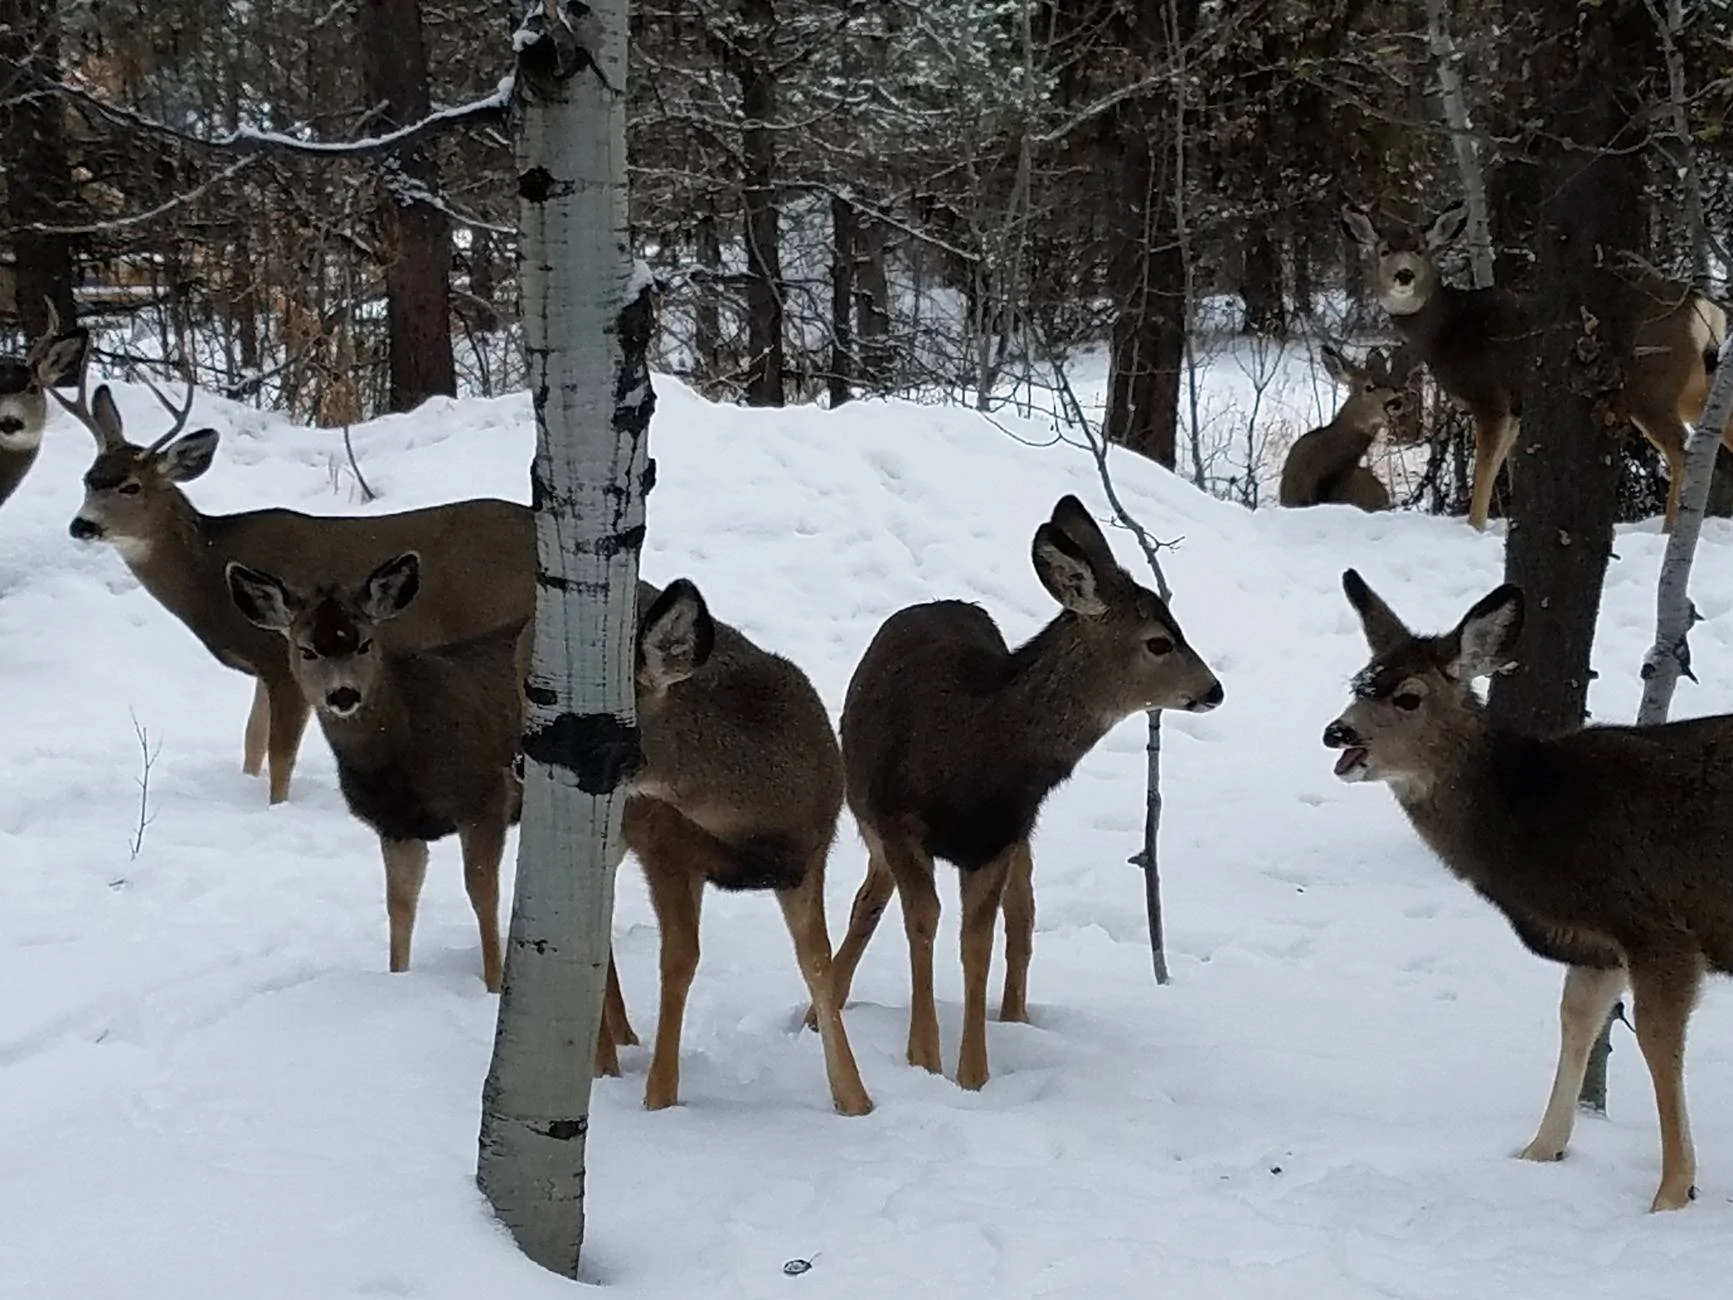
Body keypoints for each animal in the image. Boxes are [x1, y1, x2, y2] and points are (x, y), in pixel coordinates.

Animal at [50, 354, 533, 804]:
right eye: (88, 479)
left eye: (130, 486)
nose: (81, 525)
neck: (208, 572)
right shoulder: (264, 665)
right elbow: (251, 742)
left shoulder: (283, 660)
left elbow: (280, 754)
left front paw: (276, 807)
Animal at [600, 578, 873, 1116]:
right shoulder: (665, 844)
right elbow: (680, 959)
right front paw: (660, 1097)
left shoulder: (808, 858)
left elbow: (817, 961)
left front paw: (855, 1100)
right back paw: (603, 1058)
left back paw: (619, 1037)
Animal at [820, 495, 1222, 1091]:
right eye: (1160, 641)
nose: (1214, 690)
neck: (975, 754)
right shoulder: (900, 824)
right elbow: (923, 923)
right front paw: (924, 1059)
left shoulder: (1001, 837)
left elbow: (978, 941)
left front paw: (973, 1074)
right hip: (870, 814)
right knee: (871, 896)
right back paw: (821, 1008)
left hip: (1018, 839)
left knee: (1021, 911)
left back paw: (1014, 1015)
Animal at [1325, 569, 1733, 1212]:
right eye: (1359, 682)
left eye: (1408, 697)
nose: (1335, 732)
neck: (1532, 822)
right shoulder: (1599, 942)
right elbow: (1576, 1018)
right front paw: (1541, 1150)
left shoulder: (1659, 927)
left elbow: (1658, 1043)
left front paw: (1672, 1193)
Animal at [1342, 203, 1729, 532]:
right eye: (1384, 250)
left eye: (1421, 248)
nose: (1404, 275)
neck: (1448, 330)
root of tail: (1702, 305)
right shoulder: (1516, 409)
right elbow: (1504, 469)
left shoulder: (1490, 398)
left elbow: (1485, 471)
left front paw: (1474, 526)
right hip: (1693, 383)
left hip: (1651, 383)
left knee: (1682, 449)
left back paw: (1670, 529)